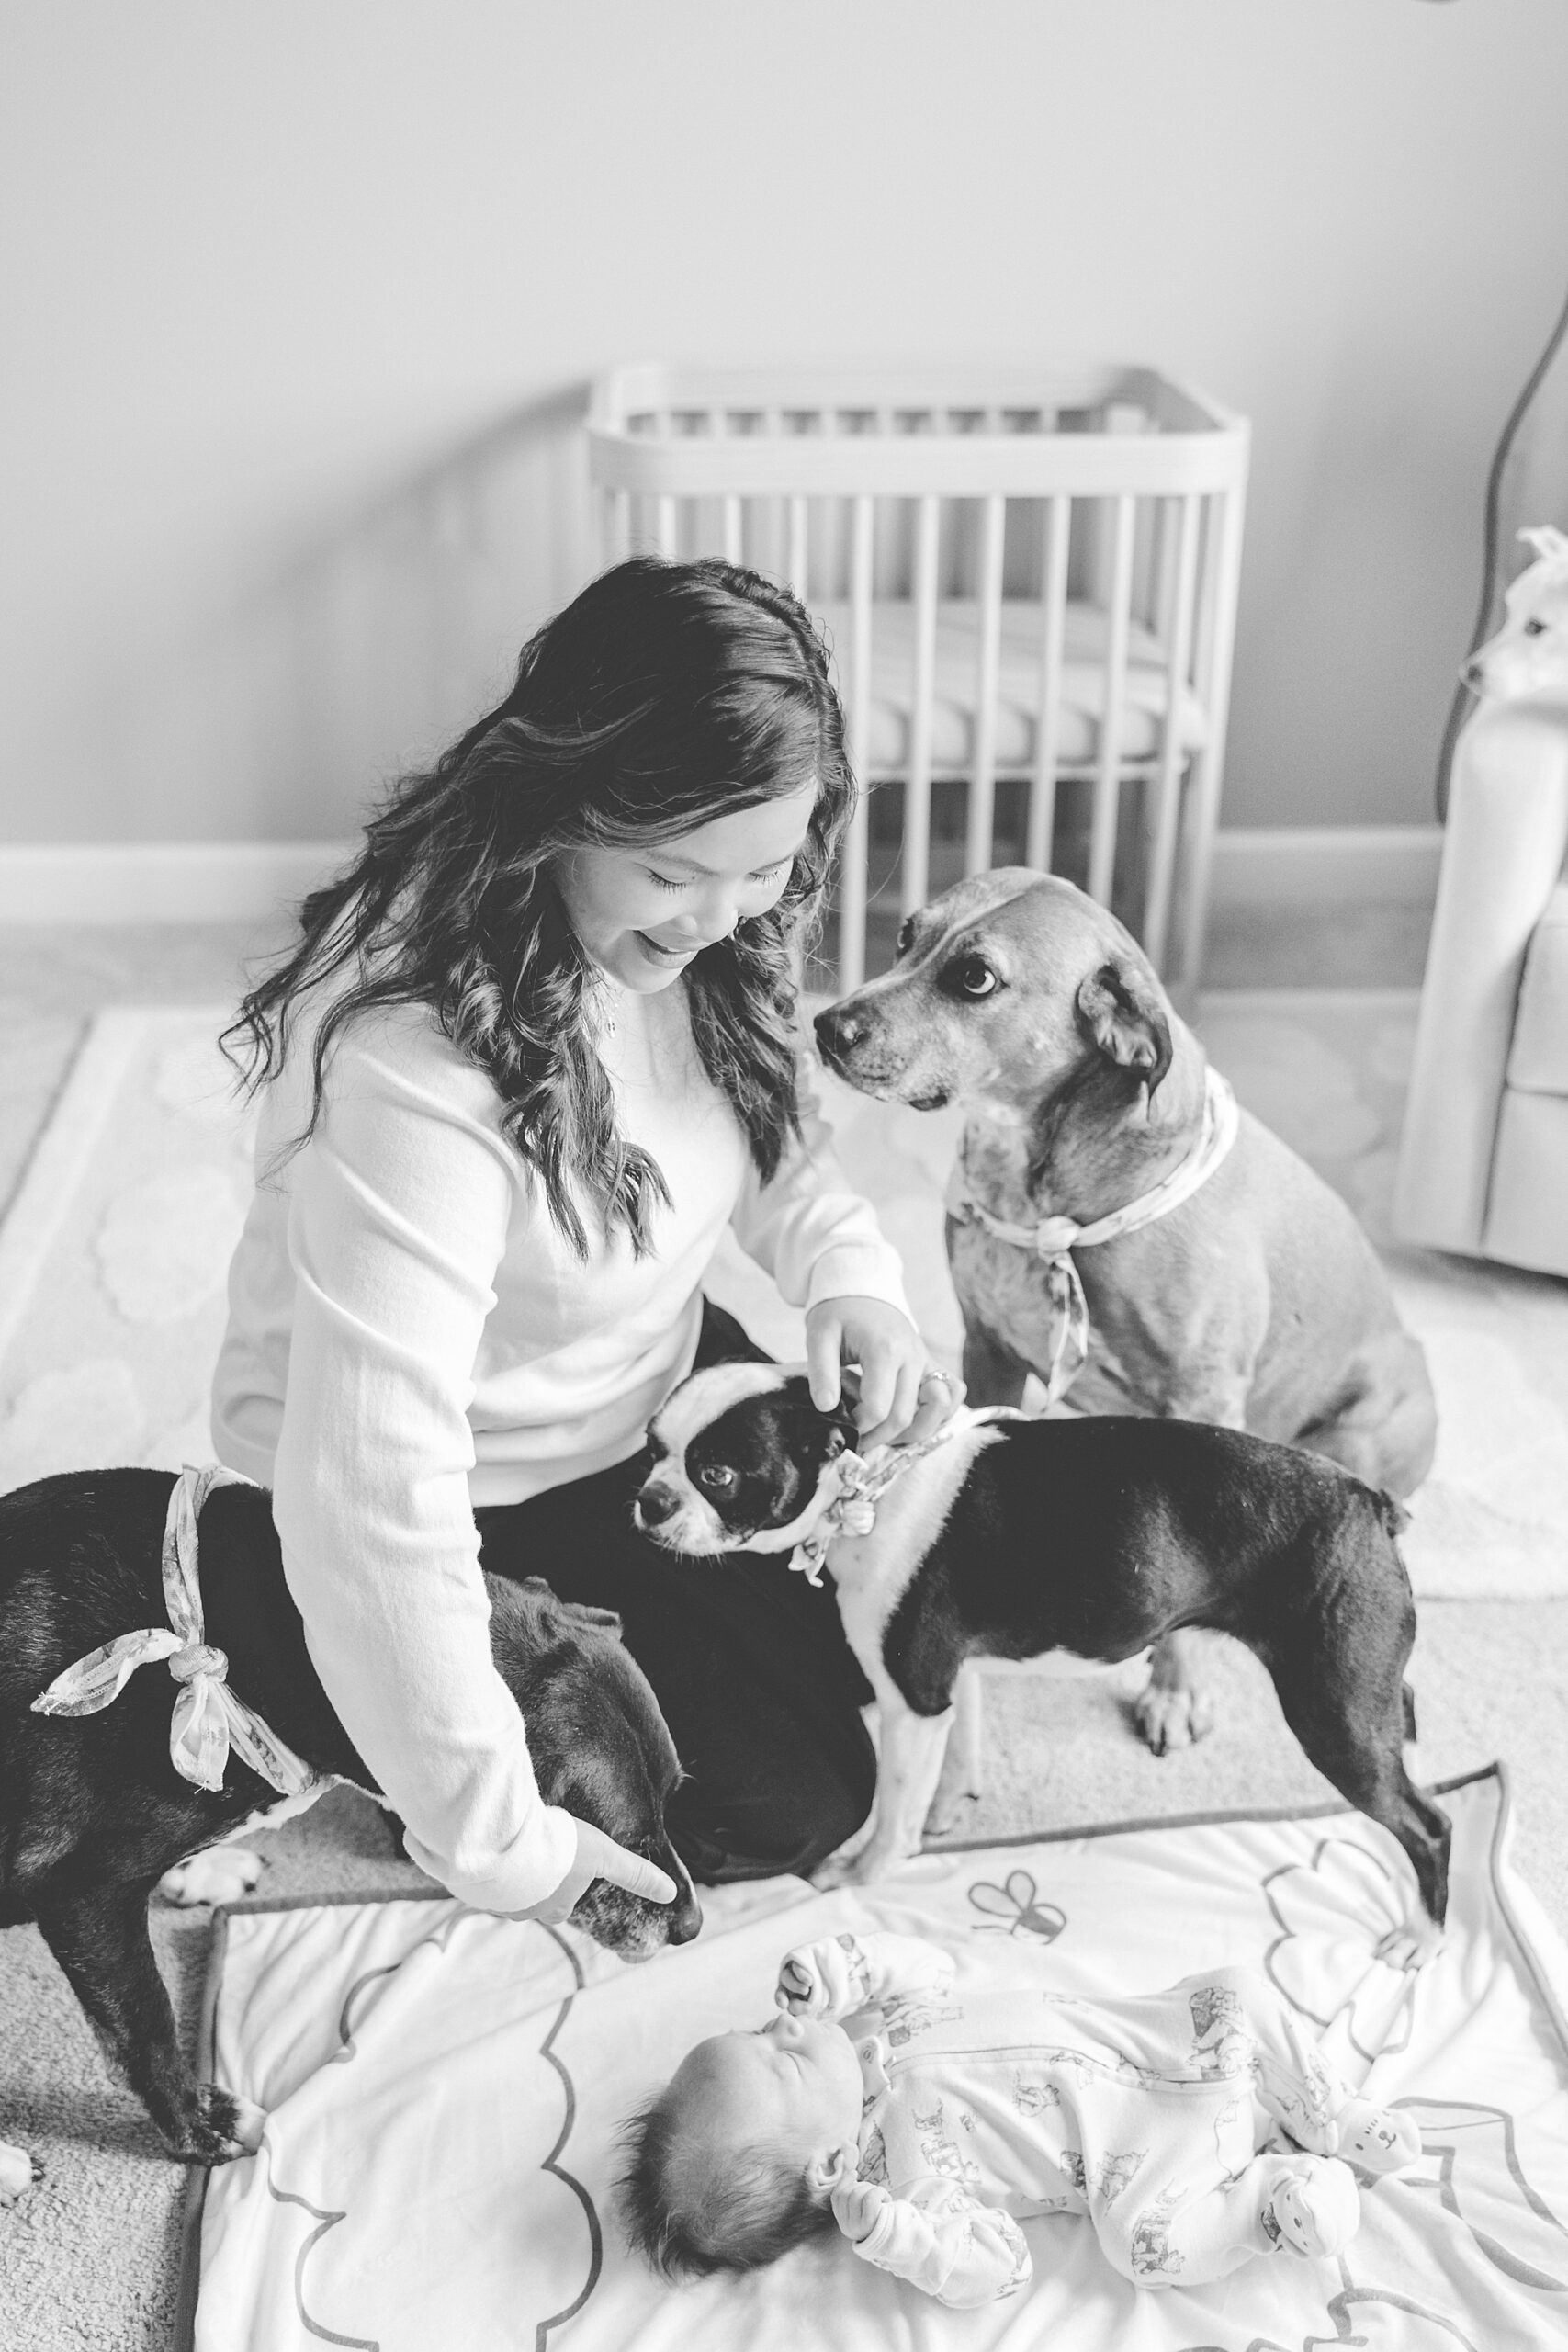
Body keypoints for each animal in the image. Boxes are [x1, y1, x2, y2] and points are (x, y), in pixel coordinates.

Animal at [0, 1467, 700, 2164]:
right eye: (625, 1840)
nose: (693, 1927)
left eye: (672, 1800)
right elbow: (145, 2027)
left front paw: (196, 1872)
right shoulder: (80, 1891)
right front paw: (204, 2126)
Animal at [629, 1363, 1457, 1947]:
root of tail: (1370, 1504)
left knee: (1427, 1826)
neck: (874, 1479)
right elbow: (956, 1745)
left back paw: (1421, 1936)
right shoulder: (947, 1678)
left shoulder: (910, 1695)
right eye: (650, 1448)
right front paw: (948, 1807)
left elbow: (893, 1808)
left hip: (1330, 1712)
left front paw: (863, 1874)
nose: (648, 1498)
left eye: (716, 1475)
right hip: (1359, 1691)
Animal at [818, 875, 1438, 1758]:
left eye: (974, 978)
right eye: (906, 935)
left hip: (1350, 1440)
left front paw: (1174, 1689)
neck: (1042, 1190)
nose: (826, 1025)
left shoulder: (1201, 1399)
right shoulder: (987, 1351)